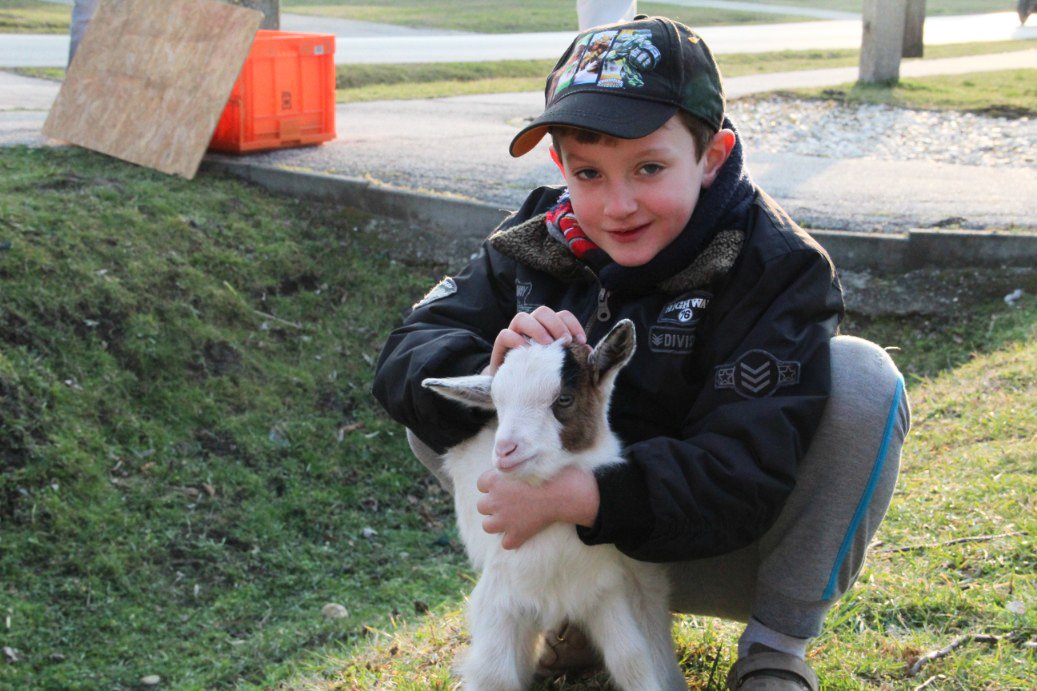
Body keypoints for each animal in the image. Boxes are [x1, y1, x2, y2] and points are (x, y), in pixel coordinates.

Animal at [421, 319, 686, 691]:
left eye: (564, 398)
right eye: (497, 404)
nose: (505, 450)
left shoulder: (603, 591)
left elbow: (631, 660)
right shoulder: (499, 600)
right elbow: (494, 675)